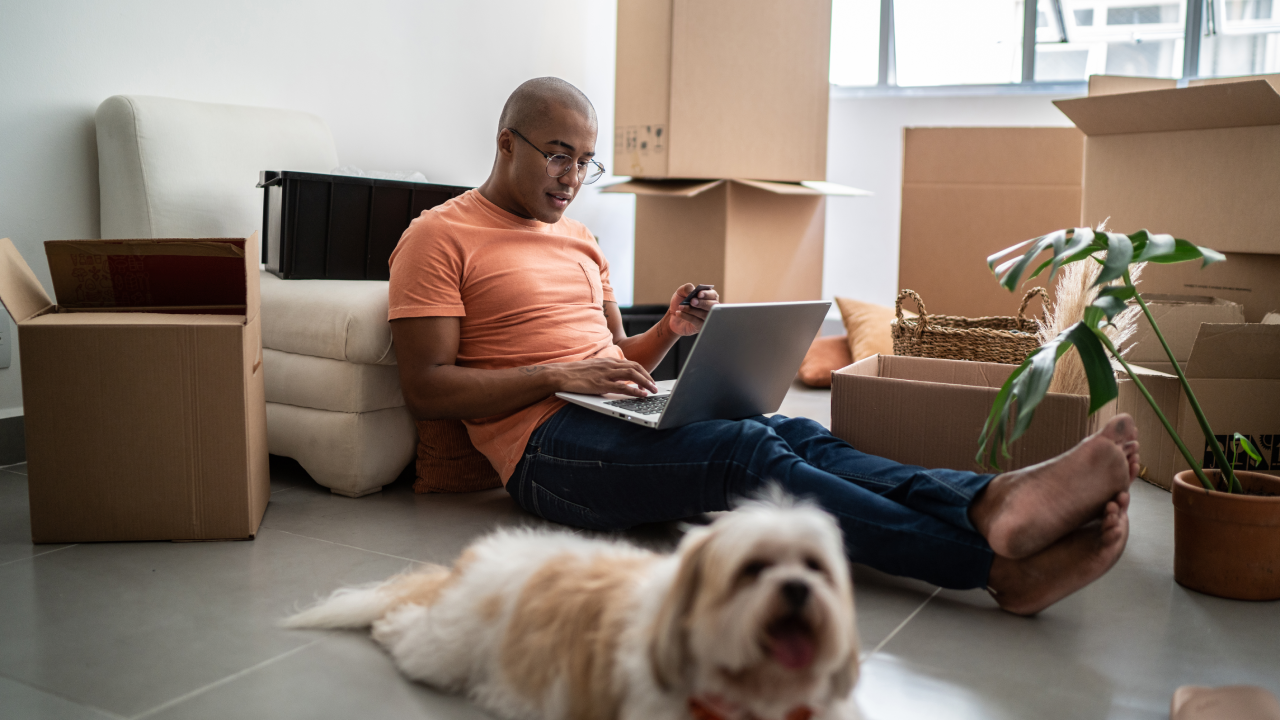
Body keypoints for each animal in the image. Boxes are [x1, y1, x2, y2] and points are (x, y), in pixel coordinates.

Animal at [281, 491, 860, 717]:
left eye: (815, 567)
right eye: (752, 570)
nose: (797, 588)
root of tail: (477, 554)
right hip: (442, 648)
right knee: (403, 630)